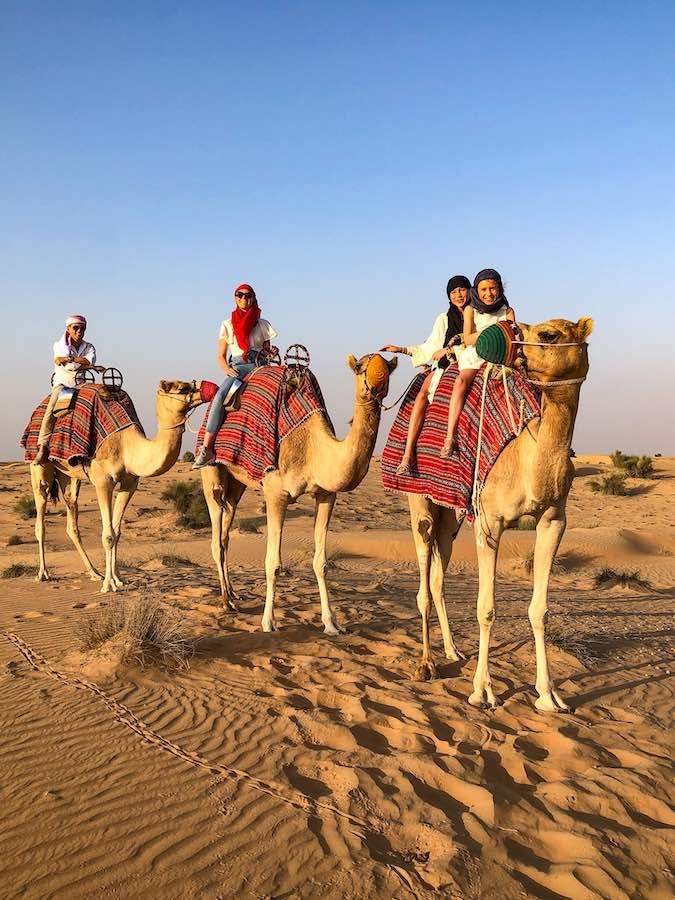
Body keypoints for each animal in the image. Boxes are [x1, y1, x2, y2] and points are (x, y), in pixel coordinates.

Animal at [30, 380, 206, 593]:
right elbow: (108, 535)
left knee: (72, 519)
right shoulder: (103, 481)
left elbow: (117, 532)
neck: (127, 445)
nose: (207, 387)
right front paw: (109, 584)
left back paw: (94, 573)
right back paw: (43, 574)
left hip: (68, 475)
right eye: (182, 388)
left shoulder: (130, 483)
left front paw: (119, 579)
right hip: (39, 469)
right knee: (40, 517)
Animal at [201, 353, 397, 633]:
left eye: (389, 369)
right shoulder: (275, 493)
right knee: (216, 535)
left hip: (237, 484)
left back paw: (233, 594)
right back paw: (226, 603)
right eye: (361, 368)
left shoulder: (326, 495)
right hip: (212, 474)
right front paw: (268, 622)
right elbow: (273, 563)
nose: (378, 381)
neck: (313, 447)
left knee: (227, 531)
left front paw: (331, 623)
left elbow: (321, 563)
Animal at [408, 317, 592, 713]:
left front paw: (549, 696)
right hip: (420, 503)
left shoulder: (554, 520)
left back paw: (452, 651)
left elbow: (540, 609)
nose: (511, 347)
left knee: (438, 577)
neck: (528, 458)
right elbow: (486, 608)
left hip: (451, 517)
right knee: (423, 580)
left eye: (549, 334)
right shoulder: (490, 522)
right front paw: (482, 691)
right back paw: (426, 665)